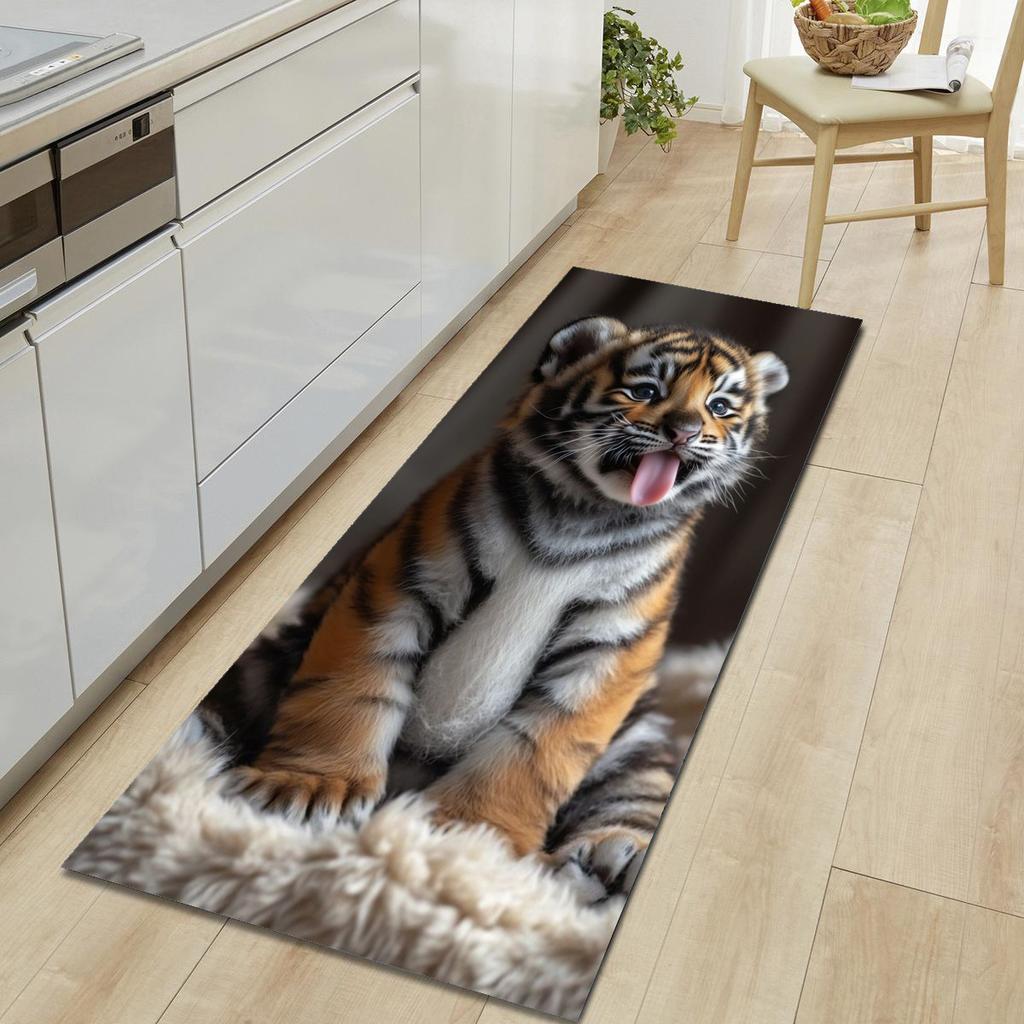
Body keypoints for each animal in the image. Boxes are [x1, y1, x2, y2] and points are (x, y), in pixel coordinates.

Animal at [216, 315, 788, 895]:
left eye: (719, 406)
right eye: (646, 391)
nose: (685, 432)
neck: (587, 516)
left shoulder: (609, 650)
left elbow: (535, 751)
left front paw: (472, 838)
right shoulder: (402, 580)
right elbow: (349, 691)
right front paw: (307, 787)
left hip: (637, 738)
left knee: (637, 793)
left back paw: (610, 858)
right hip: (263, 663)